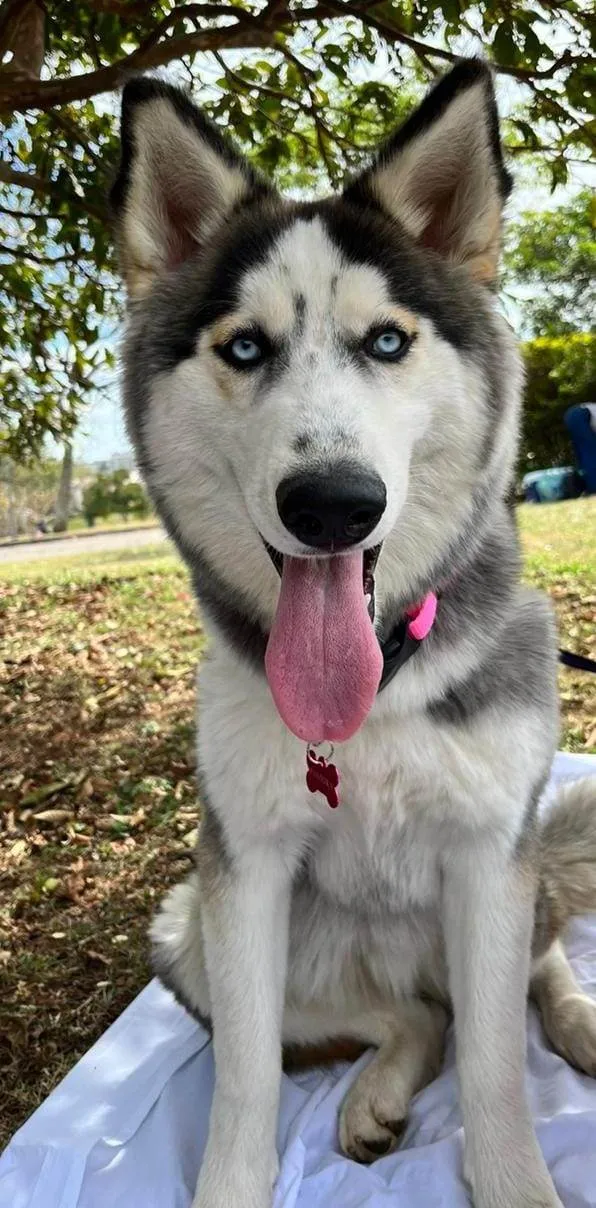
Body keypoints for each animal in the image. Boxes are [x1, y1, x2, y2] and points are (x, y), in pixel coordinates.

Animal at [110, 58, 594, 1208]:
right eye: (245, 346)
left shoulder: (488, 854)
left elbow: (498, 1070)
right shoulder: (241, 874)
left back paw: (576, 1021)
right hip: (188, 930)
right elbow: (244, 1082)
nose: (332, 503)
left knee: (523, 976)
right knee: (414, 1014)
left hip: (508, 882)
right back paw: (378, 1084)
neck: (376, 692)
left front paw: (514, 1178)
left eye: (386, 341)